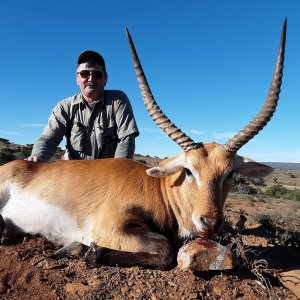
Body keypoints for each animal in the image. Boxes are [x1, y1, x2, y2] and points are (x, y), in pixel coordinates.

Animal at [0, 21, 286, 270]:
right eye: (189, 171)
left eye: (230, 174)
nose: (210, 222)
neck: (157, 188)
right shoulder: (110, 227)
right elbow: (165, 249)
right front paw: (81, 250)